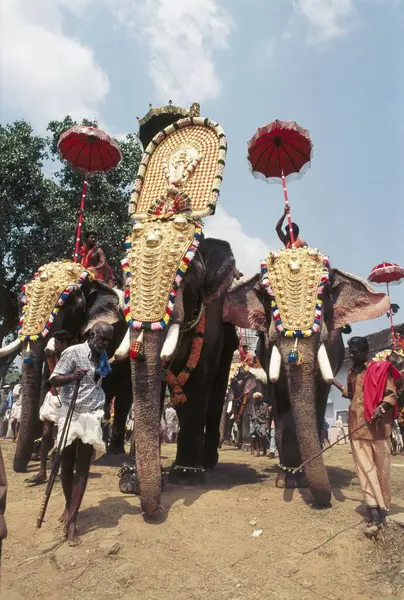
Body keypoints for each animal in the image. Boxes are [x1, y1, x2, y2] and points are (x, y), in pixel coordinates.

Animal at [0, 262, 132, 474]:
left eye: (68, 305)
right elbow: (51, 379)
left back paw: (113, 452)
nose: (18, 468)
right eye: (21, 304)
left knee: (124, 394)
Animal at [116, 236, 240, 516]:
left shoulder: (211, 321)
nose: (152, 508)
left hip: (229, 342)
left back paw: (207, 463)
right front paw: (130, 480)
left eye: (189, 273)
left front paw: (186, 477)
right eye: (126, 272)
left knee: (214, 396)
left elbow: (199, 380)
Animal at [223, 248, 390, 506]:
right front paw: (288, 480)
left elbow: (319, 396)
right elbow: (281, 403)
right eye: (268, 299)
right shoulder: (267, 352)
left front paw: (299, 478)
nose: (324, 500)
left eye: (325, 294)